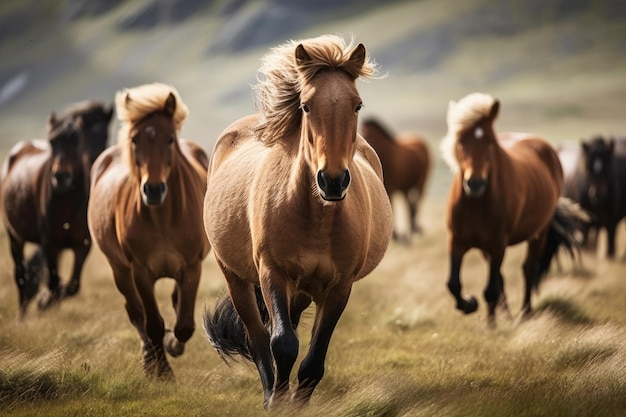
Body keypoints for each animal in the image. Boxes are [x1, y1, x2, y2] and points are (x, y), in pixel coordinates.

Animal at [86, 83, 211, 378]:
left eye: (170, 139)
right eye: (134, 140)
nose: (153, 190)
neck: (163, 218)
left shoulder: (192, 267)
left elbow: (184, 324)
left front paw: (173, 343)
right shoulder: (140, 270)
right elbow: (152, 323)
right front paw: (162, 371)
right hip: (119, 270)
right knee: (135, 313)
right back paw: (149, 359)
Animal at [204, 33, 390, 410]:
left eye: (357, 105)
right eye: (305, 106)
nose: (332, 181)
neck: (316, 217)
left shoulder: (339, 286)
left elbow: (313, 360)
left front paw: (298, 403)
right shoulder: (272, 273)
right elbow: (282, 344)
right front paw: (277, 403)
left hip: (303, 289)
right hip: (235, 276)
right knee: (257, 338)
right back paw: (270, 391)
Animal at [442, 92, 584, 324]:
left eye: (490, 142)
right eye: (461, 141)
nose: (475, 183)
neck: (476, 203)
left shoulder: (498, 244)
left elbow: (491, 289)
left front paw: (491, 324)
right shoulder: (457, 241)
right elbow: (454, 284)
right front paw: (471, 305)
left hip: (538, 233)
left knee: (528, 269)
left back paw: (526, 313)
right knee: (501, 278)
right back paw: (507, 315)